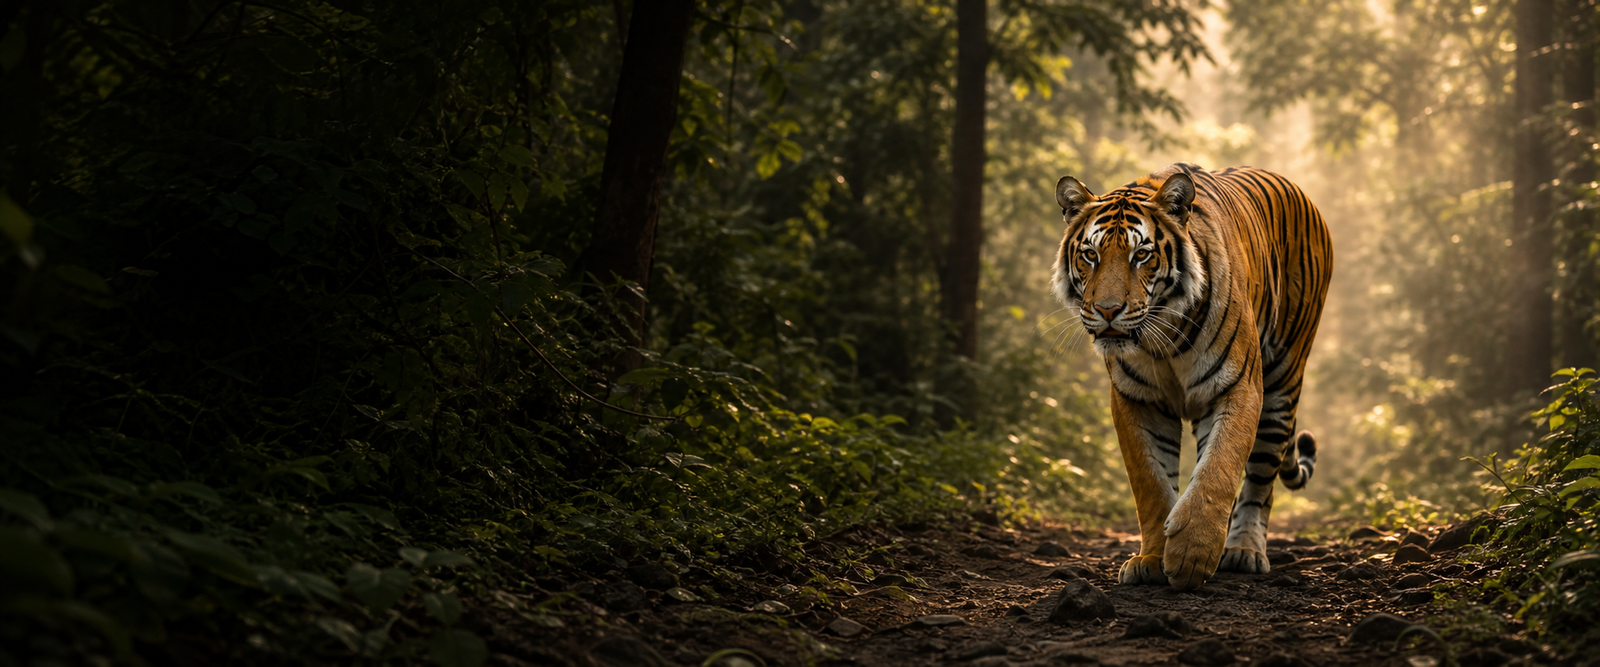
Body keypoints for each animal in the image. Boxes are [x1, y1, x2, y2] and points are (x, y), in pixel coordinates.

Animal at [1050, 163, 1332, 591]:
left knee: (1260, 482)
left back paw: (1244, 551)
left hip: (1283, 383)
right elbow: (1151, 483)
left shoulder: (1237, 388)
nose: (1107, 310)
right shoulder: (1136, 400)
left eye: (1141, 255)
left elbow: (1218, 470)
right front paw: (1152, 558)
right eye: (1090, 255)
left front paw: (1191, 556)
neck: (1162, 336)